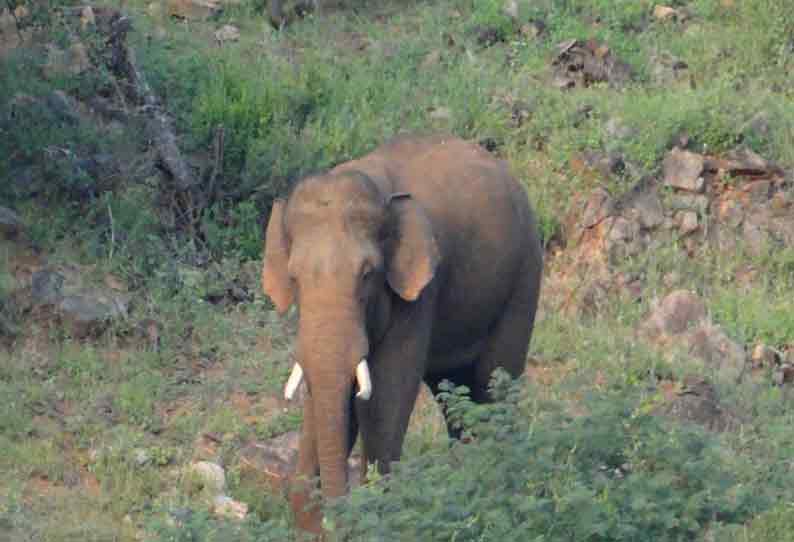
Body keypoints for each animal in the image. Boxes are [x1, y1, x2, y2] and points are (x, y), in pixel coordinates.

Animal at [262, 135, 540, 536]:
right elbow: (321, 401)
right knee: (455, 394)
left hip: (523, 277)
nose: (336, 520)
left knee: (494, 383)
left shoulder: (419, 292)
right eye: (294, 277)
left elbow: (386, 397)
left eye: (367, 274)